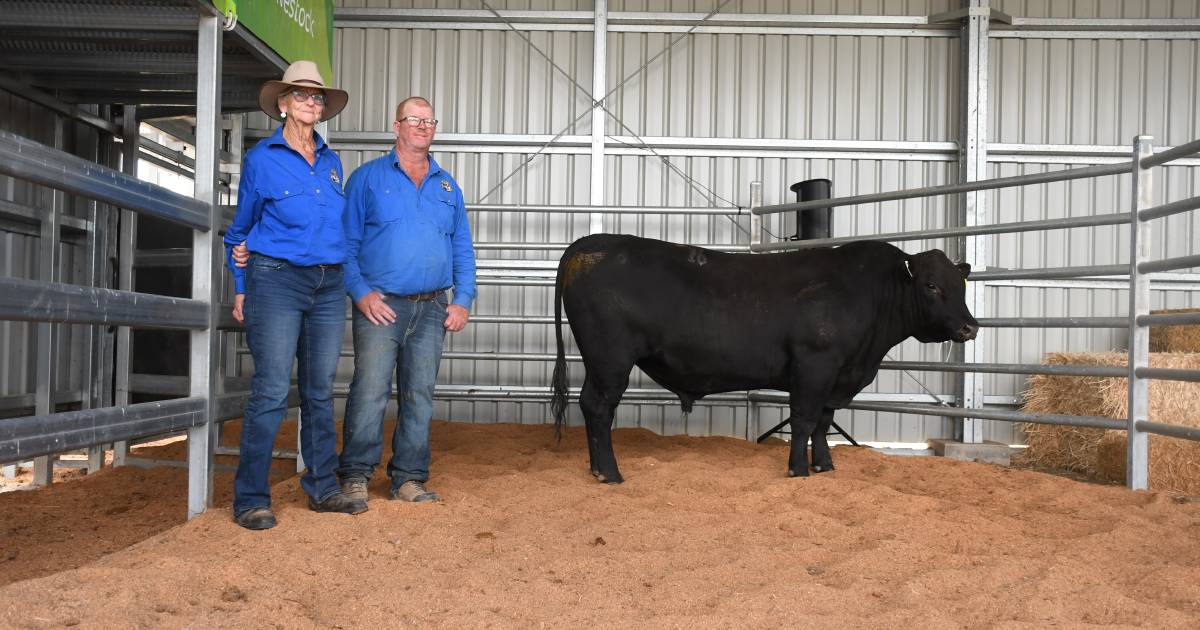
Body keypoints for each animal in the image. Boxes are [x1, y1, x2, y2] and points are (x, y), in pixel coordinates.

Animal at [549, 232, 979, 484]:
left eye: (961, 285)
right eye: (931, 285)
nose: (969, 327)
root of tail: (590, 243)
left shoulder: (836, 376)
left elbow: (823, 422)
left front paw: (824, 466)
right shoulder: (814, 366)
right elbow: (804, 420)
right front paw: (798, 469)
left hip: (601, 362)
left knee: (589, 406)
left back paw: (596, 468)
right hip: (610, 360)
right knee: (599, 408)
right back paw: (610, 473)